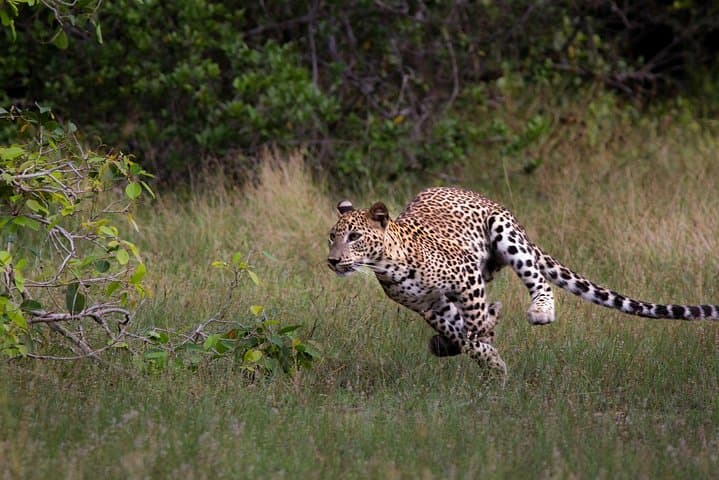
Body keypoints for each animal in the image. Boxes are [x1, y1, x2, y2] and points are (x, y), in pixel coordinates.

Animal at [327, 186, 719, 376]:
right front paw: (488, 360)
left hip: (506, 235)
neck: (387, 264)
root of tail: (478, 194)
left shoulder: (465, 275)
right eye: (332, 237)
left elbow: (476, 323)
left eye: (355, 237)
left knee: (537, 278)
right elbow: (462, 333)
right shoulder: (429, 306)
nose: (332, 260)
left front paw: (486, 338)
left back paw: (540, 311)